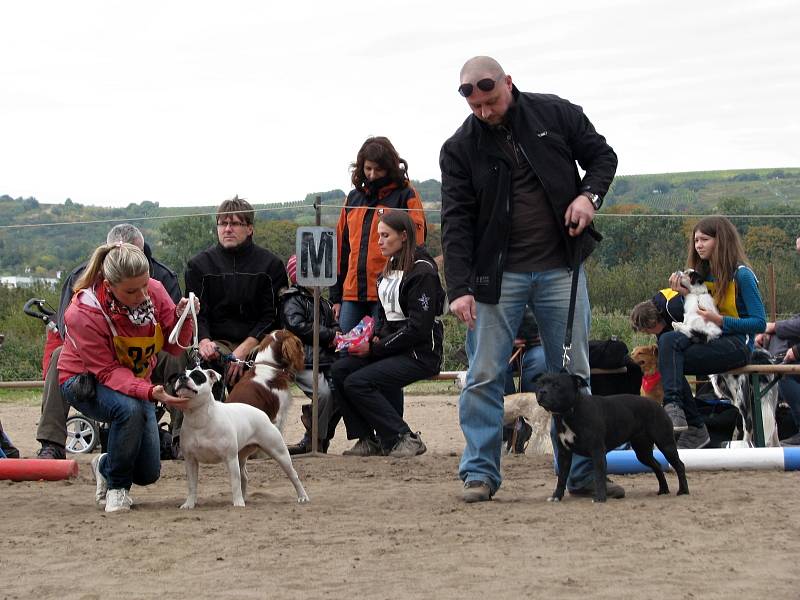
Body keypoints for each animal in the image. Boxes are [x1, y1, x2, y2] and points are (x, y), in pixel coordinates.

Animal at [173, 364, 310, 508]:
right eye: (179, 375)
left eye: (197, 376)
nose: (183, 378)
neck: (198, 417)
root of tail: (262, 413)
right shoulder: (190, 461)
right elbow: (192, 485)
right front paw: (189, 504)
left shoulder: (230, 458)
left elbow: (235, 482)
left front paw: (238, 502)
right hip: (242, 455)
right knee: (244, 476)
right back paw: (244, 498)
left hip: (279, 452)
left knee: (293, 475)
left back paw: (302, 496)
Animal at [536, 376, 692, 502]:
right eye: (540, 383)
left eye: (557, 385)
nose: (541, 391)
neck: (569, 412)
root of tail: (657, 405)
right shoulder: (564, 454)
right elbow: (561, 478)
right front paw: (556, 496)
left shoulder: (597, 451)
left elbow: (599, 475)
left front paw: (600, 498)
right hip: (642, 452)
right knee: (658, 466)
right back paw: (663, 490)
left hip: (666, 444)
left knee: (679, 465)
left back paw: (683, 491)